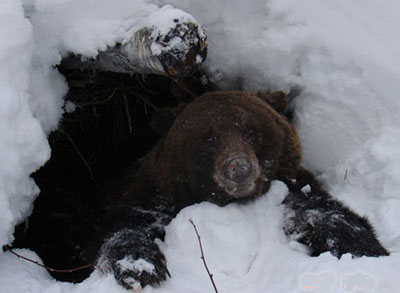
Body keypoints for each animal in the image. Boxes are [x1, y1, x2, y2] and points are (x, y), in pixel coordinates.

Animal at [96, 90, 388, 288]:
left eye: (251, 131)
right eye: (209, 137)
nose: (239, 168)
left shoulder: (292, 188)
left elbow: (326, 216)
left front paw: (367, 249)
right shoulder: (155, 195)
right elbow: (130, 224)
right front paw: (140, 267)